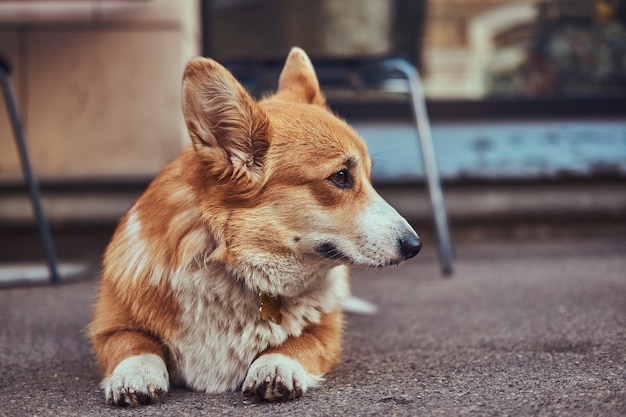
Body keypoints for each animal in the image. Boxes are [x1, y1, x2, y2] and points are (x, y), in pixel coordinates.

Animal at [89, 47, 420, 404]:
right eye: (341, 176)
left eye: (369, 177)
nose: (415, 246)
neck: (237, 268)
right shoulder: (110, 326)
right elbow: (133, 343)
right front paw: (133, 375)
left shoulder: (325, 333)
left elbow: (296, 343)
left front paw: (275, 367)